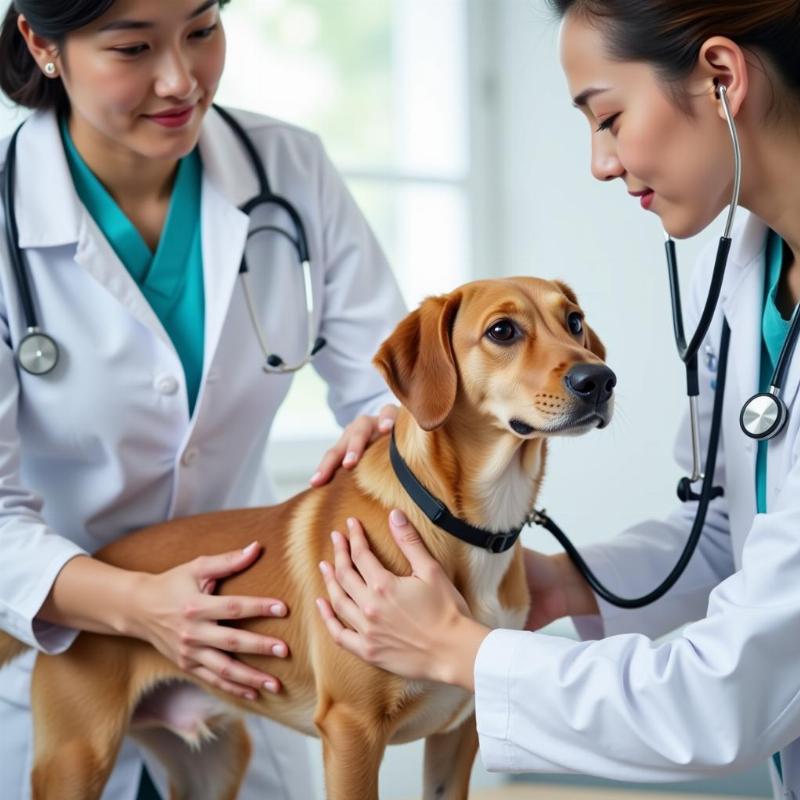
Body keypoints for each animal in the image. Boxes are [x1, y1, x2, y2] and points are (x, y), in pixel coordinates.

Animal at [0, 276, 616, 800]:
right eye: (502, 331)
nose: (600, 380)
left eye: (575, 321)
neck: (464, 526)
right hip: (76, 758)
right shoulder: (350, 731)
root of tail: (91, 559)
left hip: (214, 763)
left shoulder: (458, 729)